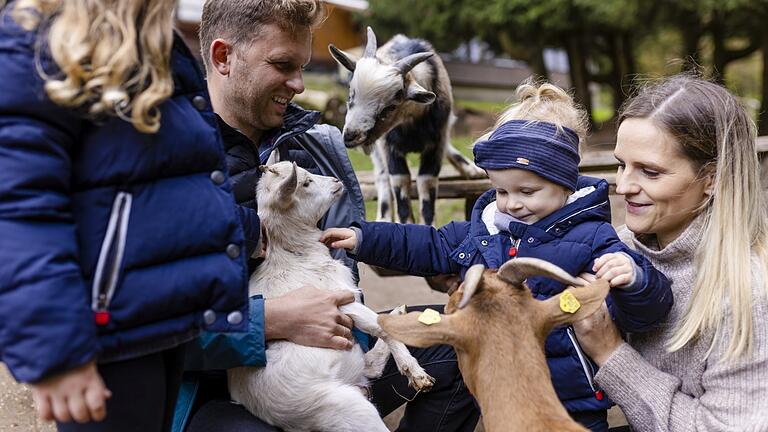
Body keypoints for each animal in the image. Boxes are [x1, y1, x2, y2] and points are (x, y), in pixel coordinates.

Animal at [328, 27, 484, 224]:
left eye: (390, 107)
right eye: (350, 96)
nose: (350, 136)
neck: (411, 125)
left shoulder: (437, 143)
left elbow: (426, 184)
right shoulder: (388, 146)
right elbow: (399, 182)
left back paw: (472, 169)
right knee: (382, 176)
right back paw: (384, 217)